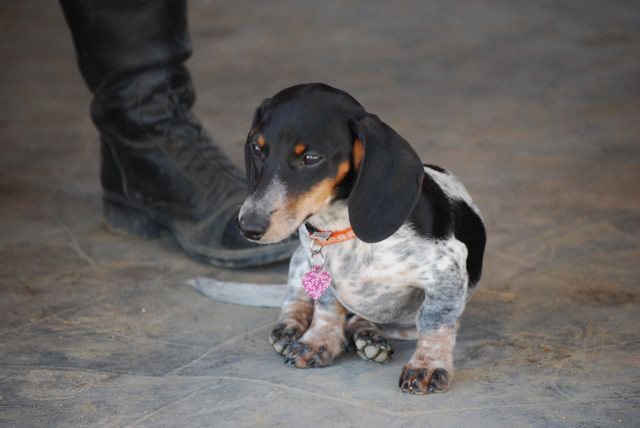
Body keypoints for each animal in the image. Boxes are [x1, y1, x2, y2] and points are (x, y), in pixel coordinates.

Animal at [238, 83, 486, 394]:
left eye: (310, 158)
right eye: (257, 148)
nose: (248, 227)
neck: (342, 229)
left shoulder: (447, 271)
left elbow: (434, 321)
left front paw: (427, 365)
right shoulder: (317, 267)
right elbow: (326, 308)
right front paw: (317, 343)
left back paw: (369, 336)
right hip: (298, 260)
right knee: (294, 298)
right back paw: (291, 328)